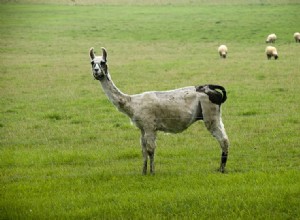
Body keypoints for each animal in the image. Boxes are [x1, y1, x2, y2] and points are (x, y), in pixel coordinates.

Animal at [89, 47, 230, 174]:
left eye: (103, 62)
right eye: (92, 62)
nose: (96, 71)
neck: (132, 102)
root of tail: (211, 87)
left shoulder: (150, 126)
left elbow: (151, 150)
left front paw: (152, 172)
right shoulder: (142, 128)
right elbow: (143, 150)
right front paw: (143, 172)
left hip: (210, 114)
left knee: (223, 140)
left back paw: (222, 169)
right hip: (216, 115)